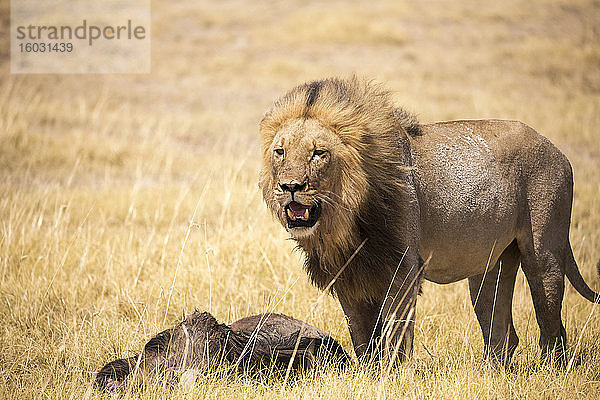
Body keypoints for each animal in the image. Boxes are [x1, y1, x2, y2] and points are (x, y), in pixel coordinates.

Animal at [258, 76, 600, 368]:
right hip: (491, 266)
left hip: (543, 252)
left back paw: (550, 371)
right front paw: (368, 375)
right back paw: (488, 374)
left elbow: (394, 331)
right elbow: (361, 335)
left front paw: (393, 376)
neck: (345, 221)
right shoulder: (349, 275)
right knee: (502, 332)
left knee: (551, 323)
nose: (290, 186)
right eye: (281, 151)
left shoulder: (403, 268)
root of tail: (555, 148)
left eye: (319, 153)